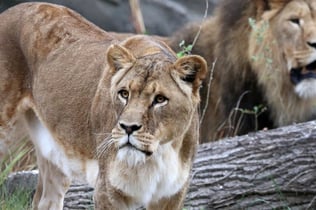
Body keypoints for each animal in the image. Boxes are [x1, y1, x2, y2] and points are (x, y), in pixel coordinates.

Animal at [0, 2, 207, 209]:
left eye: (160, 99)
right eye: (124, 94)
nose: (128, 128)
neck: (157, 156)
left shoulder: (172, 195)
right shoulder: (107, 191)